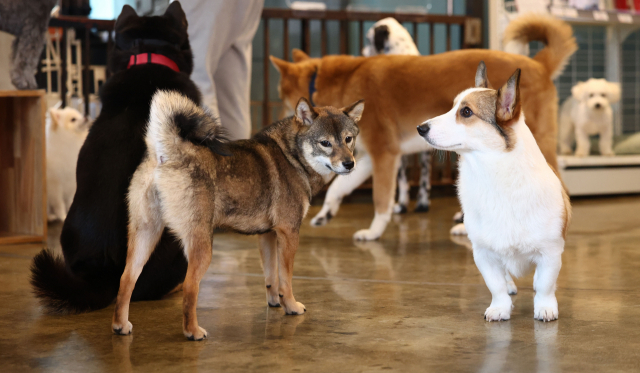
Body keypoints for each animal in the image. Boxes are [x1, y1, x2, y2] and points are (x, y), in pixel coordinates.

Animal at [418, 62, 572, 322]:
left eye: (466, 112)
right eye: (452, 107)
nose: (420, 128)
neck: (493, 174)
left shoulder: (550, 252)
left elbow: (544, 284)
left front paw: (545, 307)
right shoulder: (484, 254)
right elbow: (496, 285)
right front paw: (500, 308)